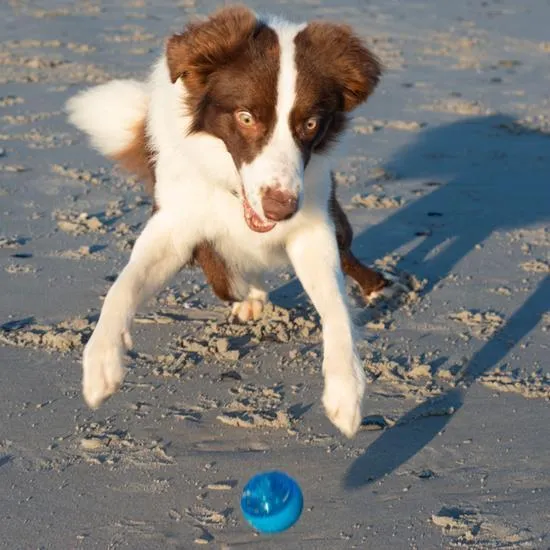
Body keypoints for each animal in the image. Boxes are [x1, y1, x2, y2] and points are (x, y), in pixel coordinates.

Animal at [67, 4, 394, 440]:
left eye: (310, 124)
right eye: (245, 117)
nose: (280, 209)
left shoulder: (313, 224)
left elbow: (335, 305)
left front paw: (347, 390)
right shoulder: (173, 223)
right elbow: (124, 285)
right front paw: (102, 363)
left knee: (347, 253)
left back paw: (377, 286)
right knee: (225, 276)